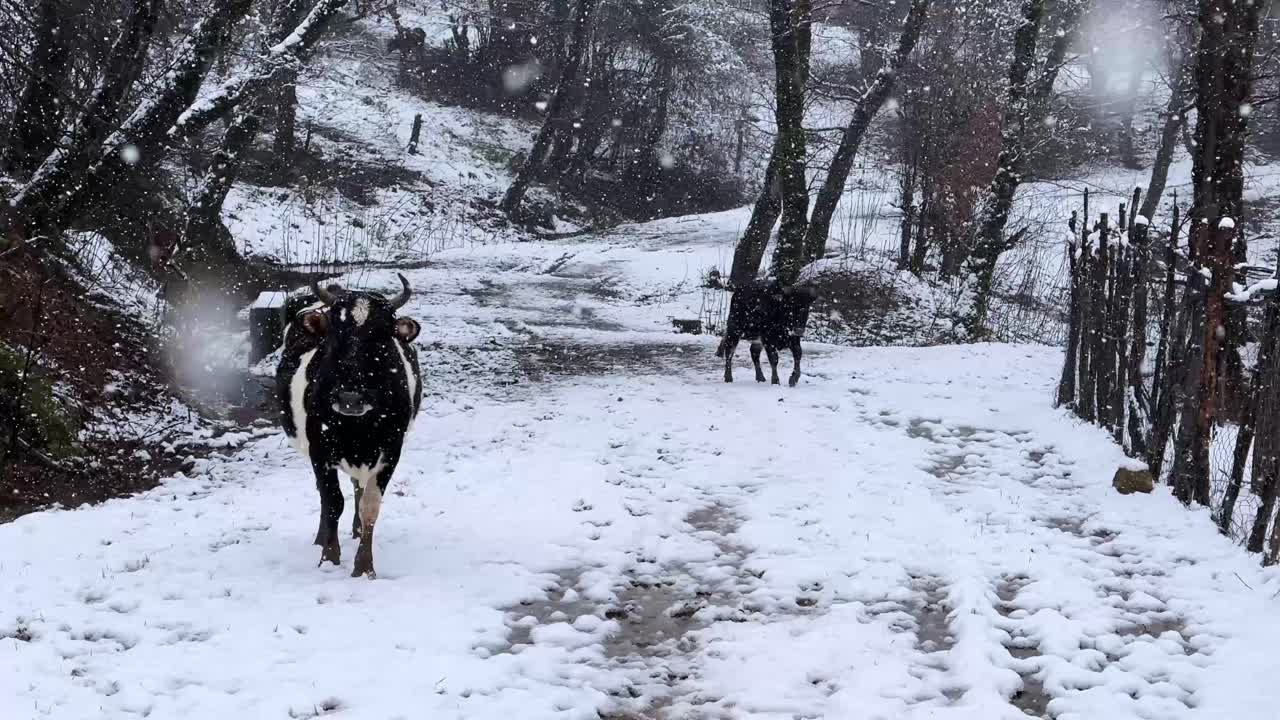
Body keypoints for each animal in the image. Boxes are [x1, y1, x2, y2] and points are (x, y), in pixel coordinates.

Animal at [276, 274, 422, 578]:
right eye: (335, 334)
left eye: (382, 337)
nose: (350, 398)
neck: (358, 429)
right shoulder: (320, 449)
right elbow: (332, 502)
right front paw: (329, 558)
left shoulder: (391, 450)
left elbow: (370, 506)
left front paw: (364, 566)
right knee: (327, 495)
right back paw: (322, 537)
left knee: (358, 487)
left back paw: (355, 530)